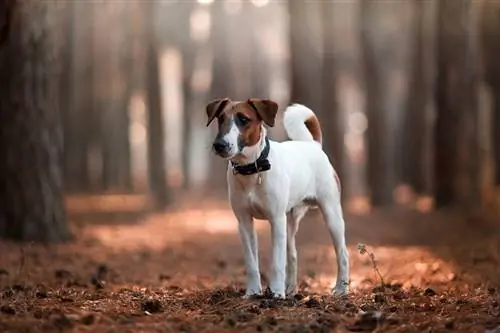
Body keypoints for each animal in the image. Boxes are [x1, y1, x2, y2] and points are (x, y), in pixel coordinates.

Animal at [205, 98, 350, 298]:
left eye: (243, 119)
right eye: (220, 118)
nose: (219, 145)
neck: (253, 169)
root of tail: (313, 145)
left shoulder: (276, 220)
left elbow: (277, 262)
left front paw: (276, 292)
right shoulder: (244, 222)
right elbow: (251, 262)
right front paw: (253, 292)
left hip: (331, 214)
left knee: (342, 253)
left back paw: (341, 288)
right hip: (291, 221)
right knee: (293, 254)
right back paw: (291, 289)